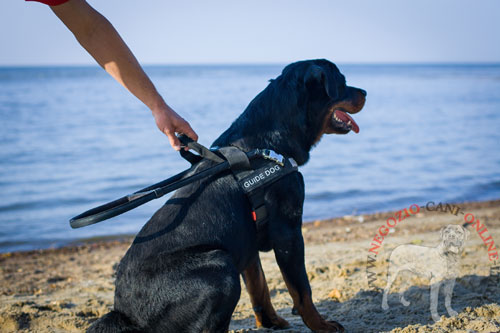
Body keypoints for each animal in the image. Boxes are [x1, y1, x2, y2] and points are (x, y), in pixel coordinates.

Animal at [89, 58, 364, 330]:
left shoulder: (249, 243)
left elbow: (259, 287)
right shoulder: (288, 232)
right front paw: (321, 326)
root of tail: (125, 315)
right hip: (220, 267)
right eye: (342, 82)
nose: (365, 92)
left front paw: (270, 321)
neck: (267, 145)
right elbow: (302, 290)